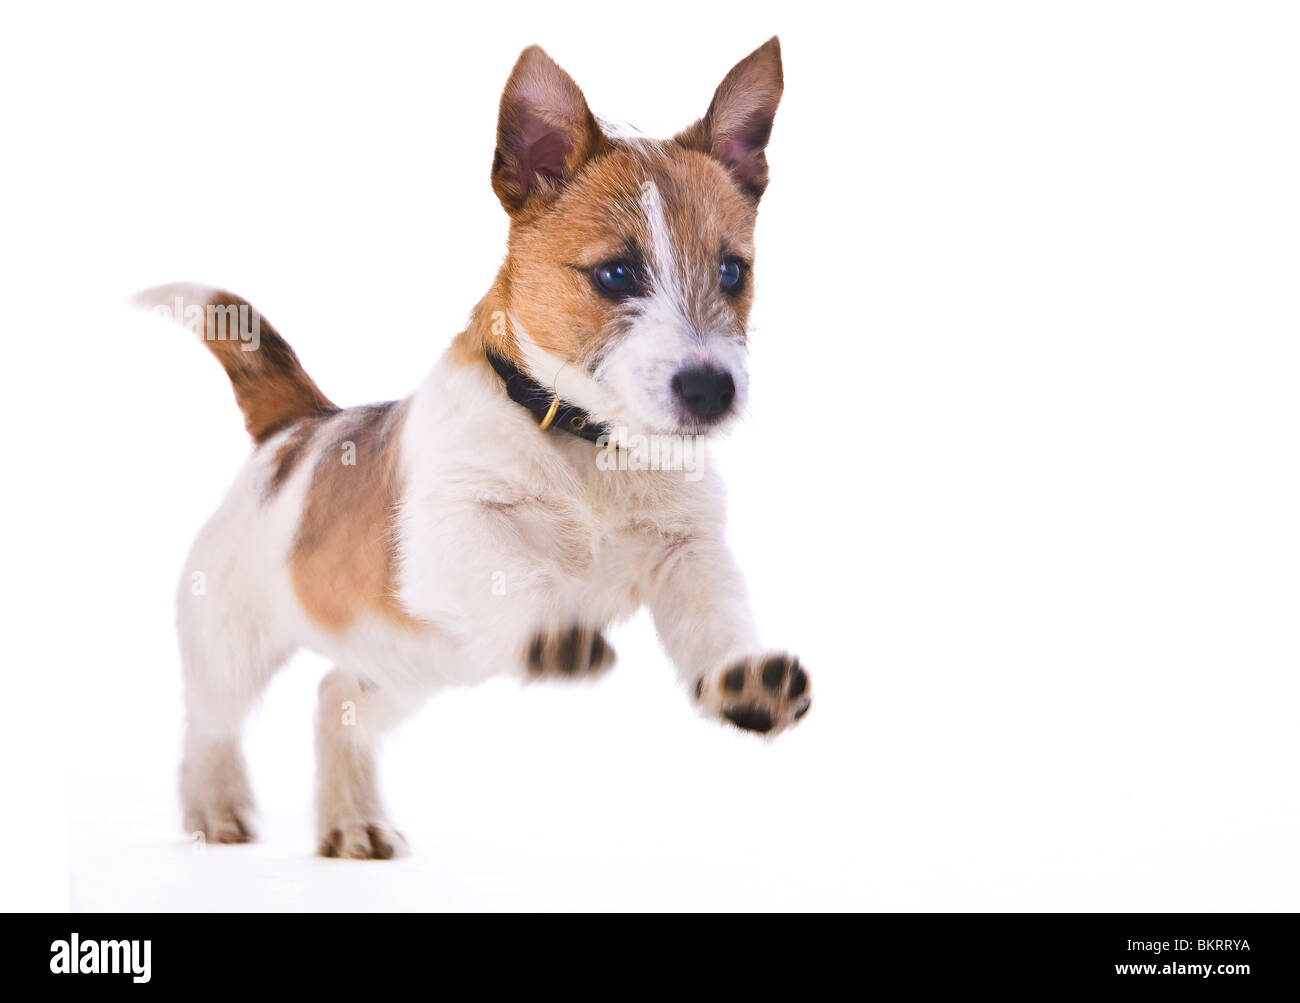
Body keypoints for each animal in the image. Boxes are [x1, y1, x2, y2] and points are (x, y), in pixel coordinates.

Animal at [144, 35, 811, 857]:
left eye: (732, 271)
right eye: (616, 273)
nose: (712, 390)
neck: (588, 442)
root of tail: (298, 425)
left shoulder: (690, 553)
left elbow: (715, 619)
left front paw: (743, 679)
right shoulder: (449, 534)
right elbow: (512, 570)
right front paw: (550, 625)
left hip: (407, 665)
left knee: (336, 698)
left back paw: (351, 821)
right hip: (231, 641)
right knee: (208, 726)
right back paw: (215, 808)